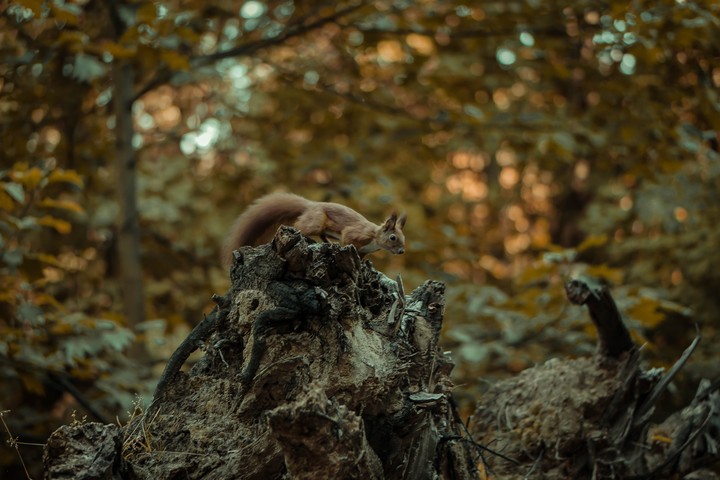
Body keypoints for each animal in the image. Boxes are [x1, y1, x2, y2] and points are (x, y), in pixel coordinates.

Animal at [222, 192, 406, 266]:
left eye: (404, 238)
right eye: (393, 237)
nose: (401, 252)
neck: (375, 238)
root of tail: (311, 205)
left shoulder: (364, 251)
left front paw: (363, 264)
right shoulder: (356, 233)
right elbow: (348, 239)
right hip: (316, 221)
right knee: (299, 227)